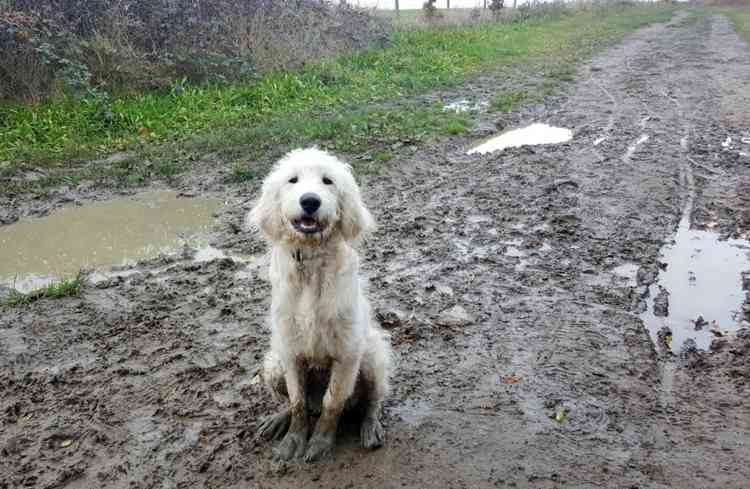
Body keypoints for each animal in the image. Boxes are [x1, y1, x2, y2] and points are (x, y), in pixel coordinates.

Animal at [251, 147, 396, 460]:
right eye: (292, 180)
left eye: (328, 181)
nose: (310, 201)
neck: (311, 262)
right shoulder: (290, 350)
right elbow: (297, 402)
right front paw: (293, 439)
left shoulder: (347, 353)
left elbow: (333, 403)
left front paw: (320, 442)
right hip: (273, 364)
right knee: (302, 402)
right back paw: (277, 419)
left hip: (372, 357)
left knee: (372, 401)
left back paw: (370, 426)